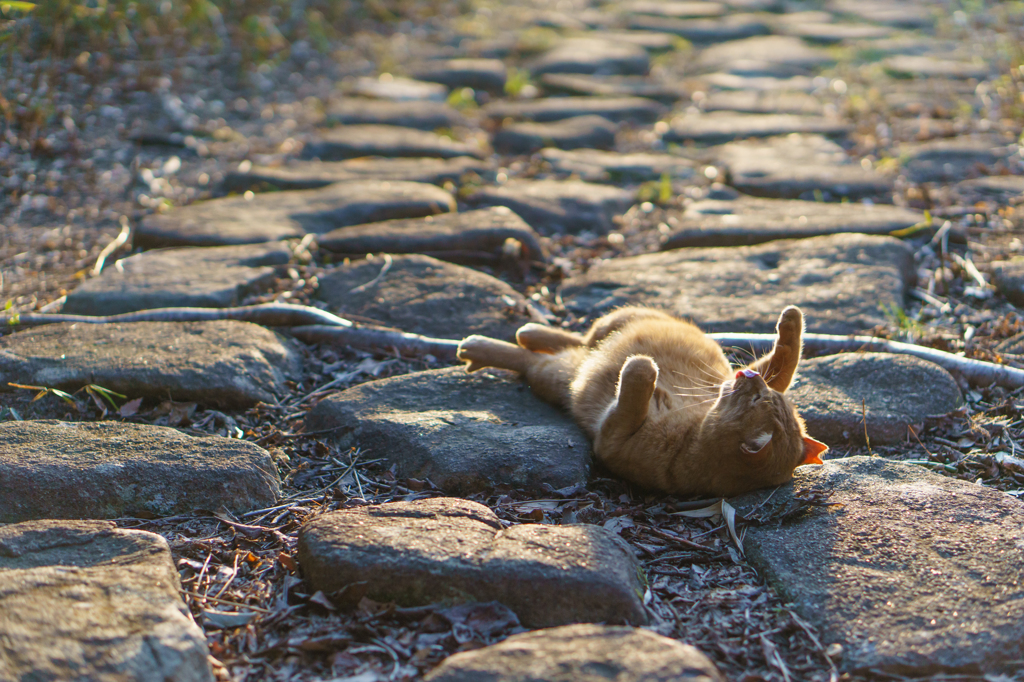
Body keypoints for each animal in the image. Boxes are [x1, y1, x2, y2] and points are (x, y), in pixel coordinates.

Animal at [460, 305, 827, 497]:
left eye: (757, 399)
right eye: (766, 397)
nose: (749, 380)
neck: (692, 438)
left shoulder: (612, 437)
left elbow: (635, 384)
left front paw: (642, 368)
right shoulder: (725, 377)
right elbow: (784, 361)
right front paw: (792, 323)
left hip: (554, 375)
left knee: (535, 356)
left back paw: (477, 346)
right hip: (621, 318)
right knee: (582, 337)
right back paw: (532, 330)